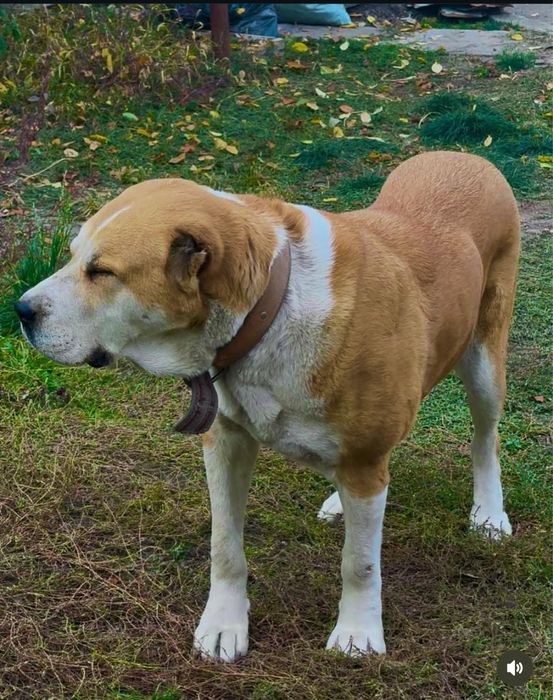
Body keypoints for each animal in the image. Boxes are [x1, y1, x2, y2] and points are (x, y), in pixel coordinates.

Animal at [16, 151, 520, 662]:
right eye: (73, 255)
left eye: (102, 272)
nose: (21, 311)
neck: (271, 310)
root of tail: (463, 154)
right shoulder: (225, 442)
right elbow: (225, 547)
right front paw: (224, 624)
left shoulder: (363, 458)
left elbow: (358, 563)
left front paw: (357, 632)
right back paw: (340, 499)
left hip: (484, 361)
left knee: (484, 439)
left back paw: (489, 513)